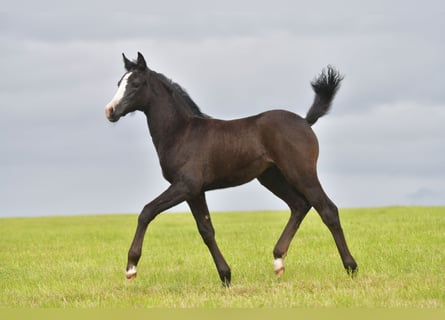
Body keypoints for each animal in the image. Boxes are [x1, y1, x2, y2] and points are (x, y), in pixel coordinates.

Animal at [105, 53, 358, 288]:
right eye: (118, 83)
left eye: (135, 84)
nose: (110, 111)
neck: (181, 133)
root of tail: (305, 121)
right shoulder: (195, 192)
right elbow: (206, 230)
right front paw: (225, 276)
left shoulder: (186, 186)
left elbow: (147, 212)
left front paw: (131, 268)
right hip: (271, 177)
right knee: (299, 205)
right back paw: (278, 261)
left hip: (302, 174)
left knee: (327, 210)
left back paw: (351, 267)